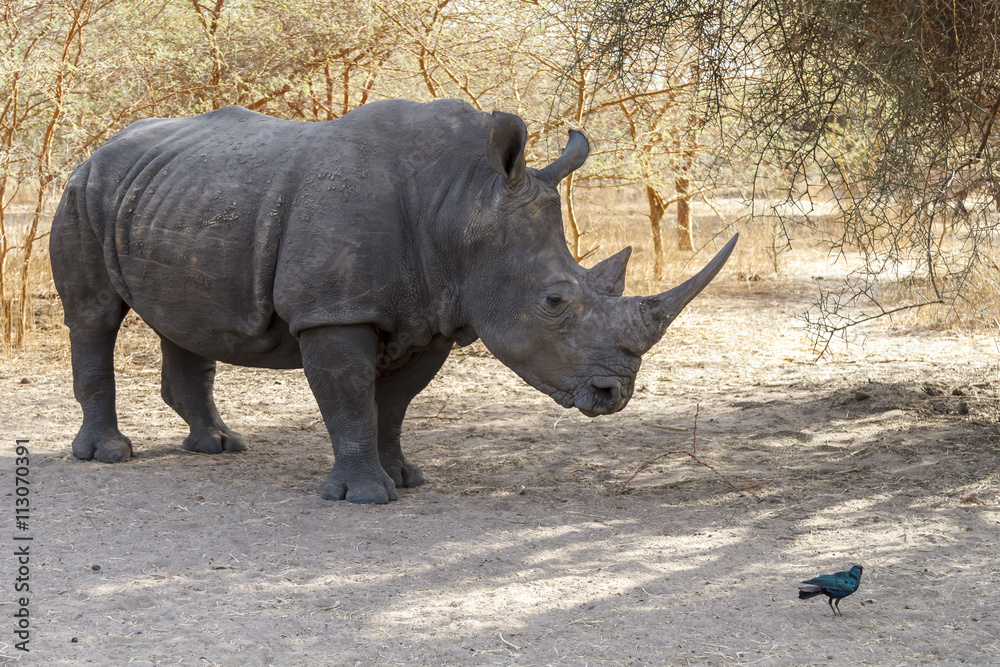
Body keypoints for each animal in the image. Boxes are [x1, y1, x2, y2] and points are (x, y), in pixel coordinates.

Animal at [50, 99, 737, 503]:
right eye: (552, 301)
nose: (613, 395)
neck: (462, 201)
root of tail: (98, 148)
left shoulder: (435, 313)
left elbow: (395, 403)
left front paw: (405, 478)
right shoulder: (334, 310)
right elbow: (350, 395)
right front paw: (365, 496)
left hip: (173, 193)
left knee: (186, 318)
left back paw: (219, 445)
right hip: (84, 191)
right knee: (93, 316)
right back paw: (109, 456)